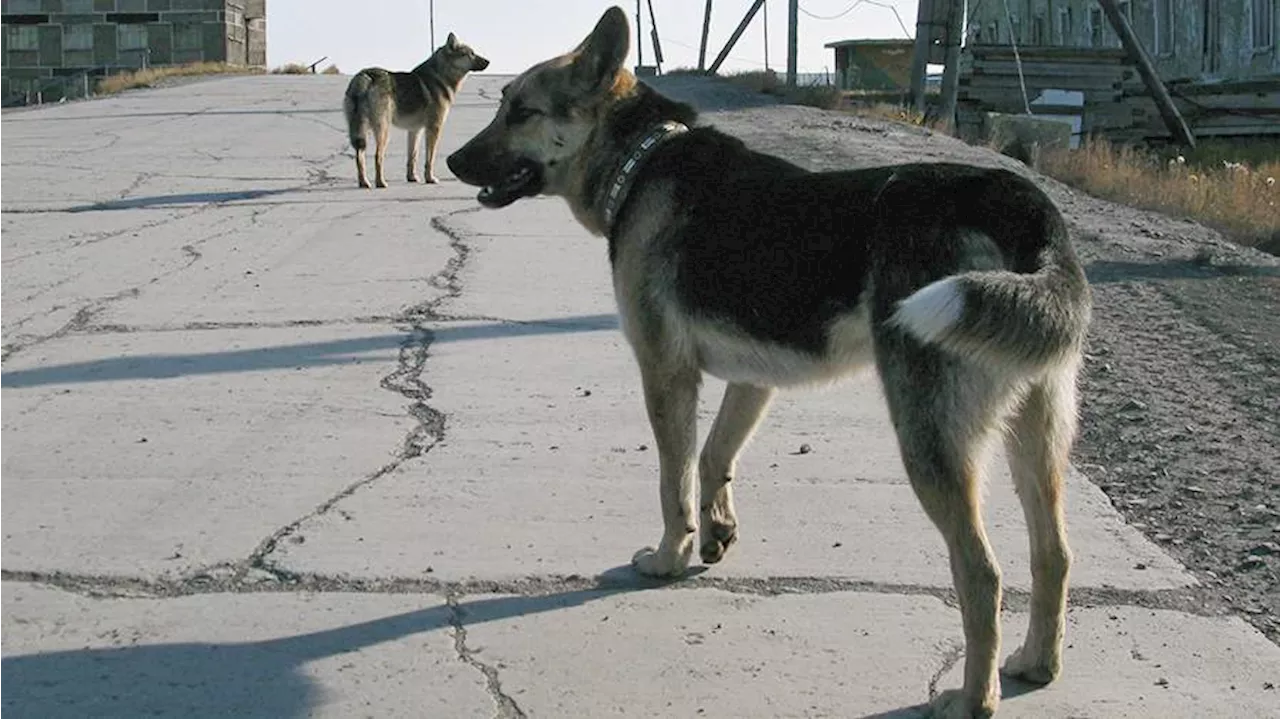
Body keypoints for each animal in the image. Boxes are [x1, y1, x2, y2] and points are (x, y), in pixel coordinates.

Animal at [343, 32, 486, 189]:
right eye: (471, 54)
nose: (488, 61)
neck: (442, 77)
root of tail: (365, 75)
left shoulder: (415, 130)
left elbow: (412, 156)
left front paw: (412, 178)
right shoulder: (434, 128)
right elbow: (430, 158)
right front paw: (430, 178)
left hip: (363, 131)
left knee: (359, 157)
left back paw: (364, 182)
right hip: (383, 131)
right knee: (377, 156)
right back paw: (380, 183)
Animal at [448, 8, 1090, 711]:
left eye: (521, 111)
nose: (450, 160)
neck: (640, 160)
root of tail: (1022, 201)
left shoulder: (665, 374)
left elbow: (672, 482)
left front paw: (669, 559)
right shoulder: (752, 379)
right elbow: (714, 458)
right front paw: (717, 531)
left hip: (932, 443)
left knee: (982, 573)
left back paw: (974, 699)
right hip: (1037, 436)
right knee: (1054, 553)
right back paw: (1037, 664)